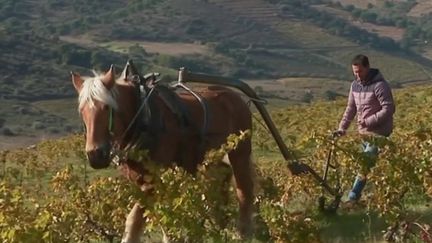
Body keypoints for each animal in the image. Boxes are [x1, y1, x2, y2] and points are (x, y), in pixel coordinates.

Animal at [69, 63, 255, 242]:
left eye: (107, 107)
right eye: (82, 111)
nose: (95, 155)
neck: (143, 117)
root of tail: (234, 97)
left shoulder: (153, 181)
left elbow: (134, 220)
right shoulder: (140, 182)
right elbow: (158, 220)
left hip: (240, 151)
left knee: (244, 191)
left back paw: (242, 233)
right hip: (212, 159)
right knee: (221, 184)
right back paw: (220, 226)